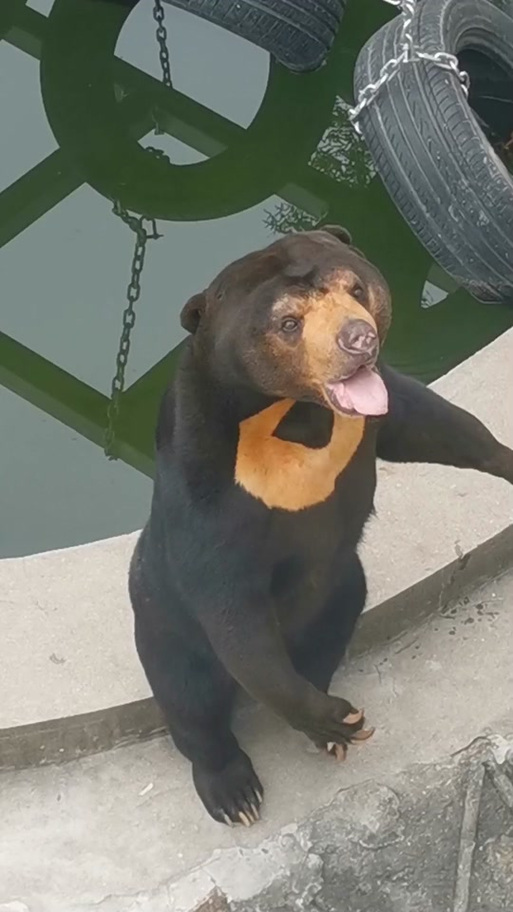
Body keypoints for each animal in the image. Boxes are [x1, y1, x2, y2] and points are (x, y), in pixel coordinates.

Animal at [128, 226, 513, 827]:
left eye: (355, 288)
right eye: (289, 323)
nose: (359, 339)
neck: (293, 415)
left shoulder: (373, 414)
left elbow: (435, 425)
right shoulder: (206, 478)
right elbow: (232, 609)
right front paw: (335, 719)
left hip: (342, 588)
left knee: (326, 640)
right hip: (162, 622)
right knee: (191, 699)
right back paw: (235, 791)